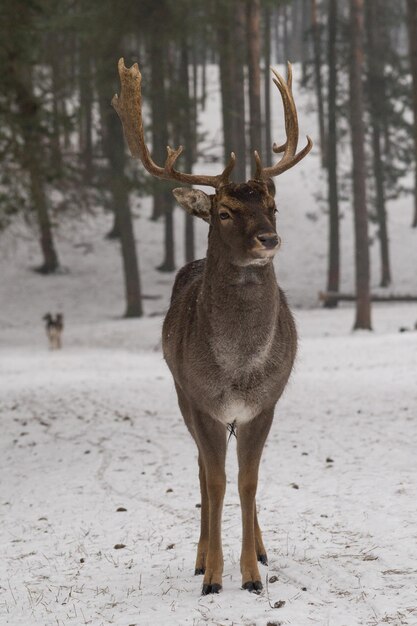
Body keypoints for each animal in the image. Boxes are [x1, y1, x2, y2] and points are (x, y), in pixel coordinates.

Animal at [112, 57, 310, 596]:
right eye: (224, 211)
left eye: (273, 207)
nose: (270, 238)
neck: (237, 370)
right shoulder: (200, 399)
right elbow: (217, 481)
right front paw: (215, 576)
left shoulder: (265, 403)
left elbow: (248, 481)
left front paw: (253, 574)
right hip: (182, 393)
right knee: (202, 469)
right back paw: (201, 559)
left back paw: (260, 550)